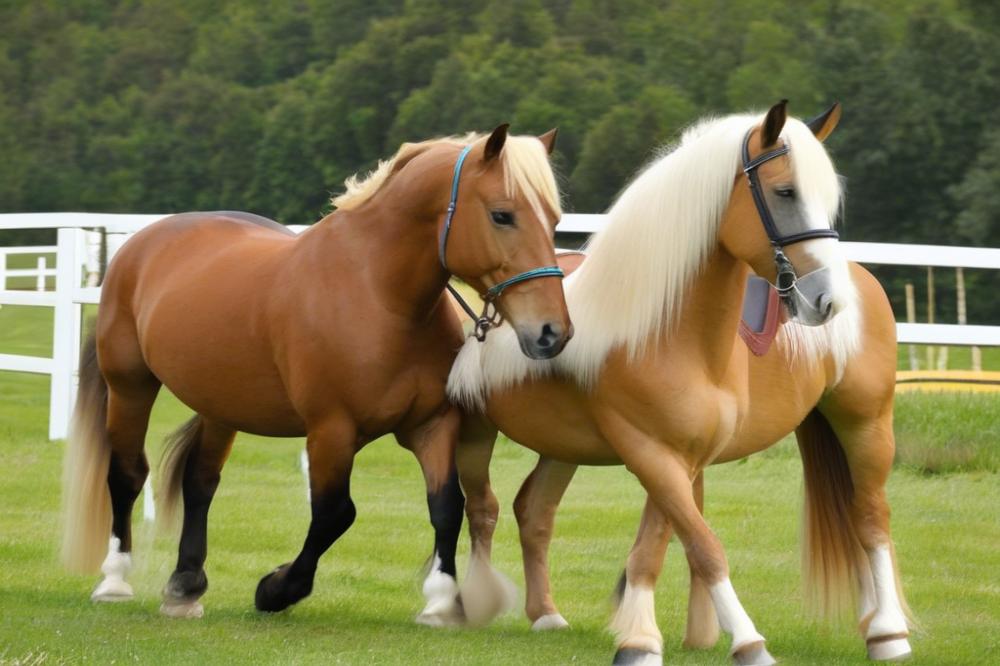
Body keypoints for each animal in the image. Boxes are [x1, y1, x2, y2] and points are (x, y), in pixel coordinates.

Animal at [64, 124, 572, 624]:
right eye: (502, 215)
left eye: (554, 220)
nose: (552, 332)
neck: (378, 294)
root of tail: (141, 243)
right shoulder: (332, 430)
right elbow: (334, 513)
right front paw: (276, 589)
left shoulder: (432, 425)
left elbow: (447, 505)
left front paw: (442, 600)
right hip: (129, 387)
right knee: (127, 474)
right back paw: (114, 581)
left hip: (219, 406)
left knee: (200, 481)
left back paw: (185, 586)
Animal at [450, 101, 912, 660]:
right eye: (785, 192)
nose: (827, 300)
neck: (667, 332)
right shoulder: (654, 454)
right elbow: (694, 545)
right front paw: (699, 641)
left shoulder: (678, 459)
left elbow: (664, 546)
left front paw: (657, 639)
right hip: (506, 438)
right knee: (508, 509)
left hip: (866, 423)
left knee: (871, 517)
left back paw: (887, 632)